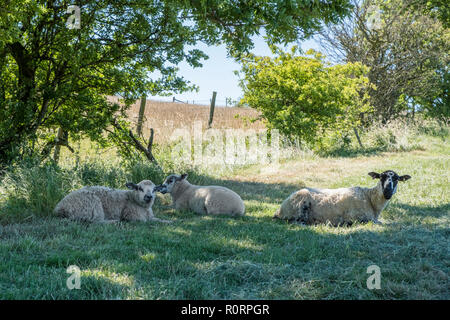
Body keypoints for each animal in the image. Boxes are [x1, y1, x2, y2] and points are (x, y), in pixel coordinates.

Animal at [272, 171, 414, 226]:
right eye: (381, 177)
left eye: (396, 179)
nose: (387, 191)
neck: (370, 199)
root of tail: (280, 210)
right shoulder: (361, 218)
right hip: (300, 206)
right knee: (295, 221)